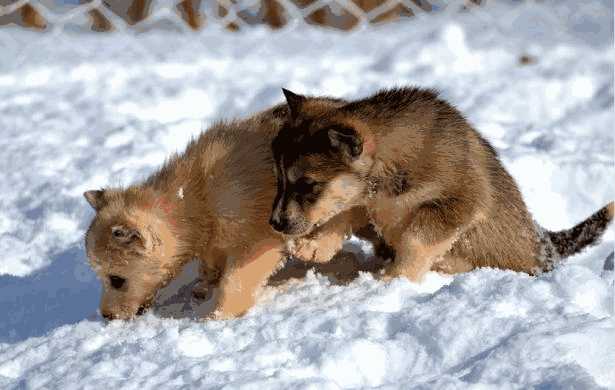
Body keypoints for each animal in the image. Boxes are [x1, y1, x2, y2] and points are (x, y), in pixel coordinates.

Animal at [83, 103, 372, 320]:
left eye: (116, 280)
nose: (107, 317)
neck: (198, 197)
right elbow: (212, 268)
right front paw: (203, 286)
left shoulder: (257, 242)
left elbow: (234, 282)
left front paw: (216, 317)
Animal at [272, 86, 612, 280]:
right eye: (280, 179)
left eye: (308, 184)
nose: (274, 224)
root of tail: (546, 243)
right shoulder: (365, 199)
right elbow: (340, 214)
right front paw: (313, 247)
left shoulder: (459, 202)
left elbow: (416, 238)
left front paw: (394, 278)